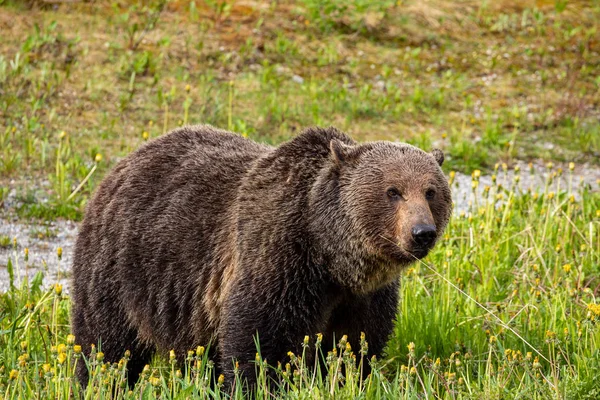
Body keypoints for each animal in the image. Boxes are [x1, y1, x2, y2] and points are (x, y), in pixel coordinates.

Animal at [70, 125, 450, 388]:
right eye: (393, 191)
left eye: (430, 191)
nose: (421, 232)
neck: (333, 256)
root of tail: (122, 164)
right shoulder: (278, 260)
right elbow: (258, 342)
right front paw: (261, 384)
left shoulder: (364, 296)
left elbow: (356, 346)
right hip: (122, 267)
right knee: (106, 341)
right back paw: (101, 381)